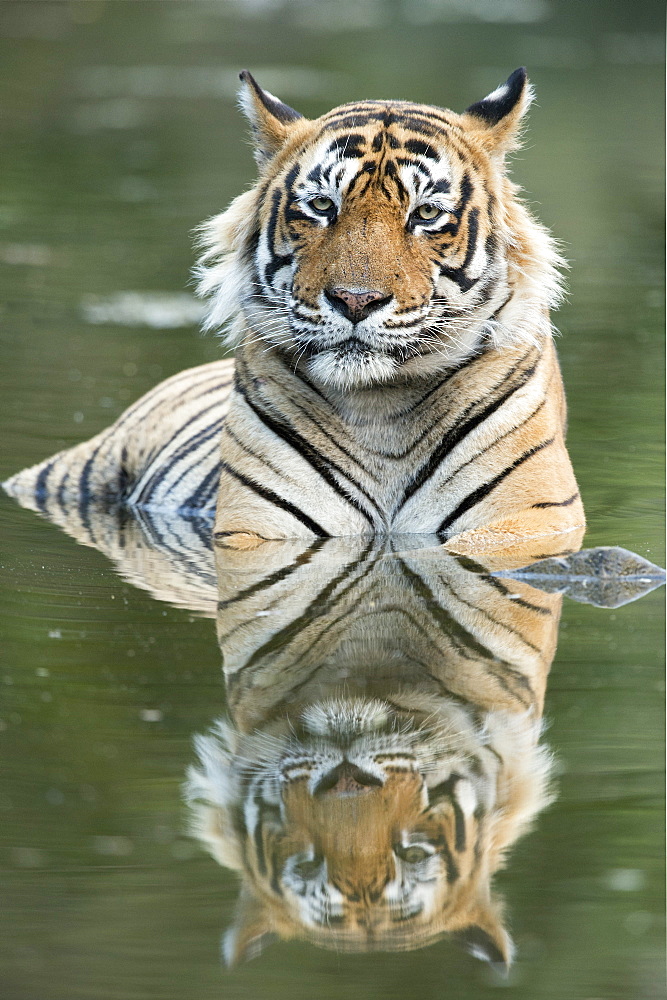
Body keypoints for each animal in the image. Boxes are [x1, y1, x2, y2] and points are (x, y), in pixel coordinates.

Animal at [3, 68, 584, 564]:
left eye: (424, 214)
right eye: (323, 206)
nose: (355, 300)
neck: (380, 409)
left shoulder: (526, 520)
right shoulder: (256, 529)